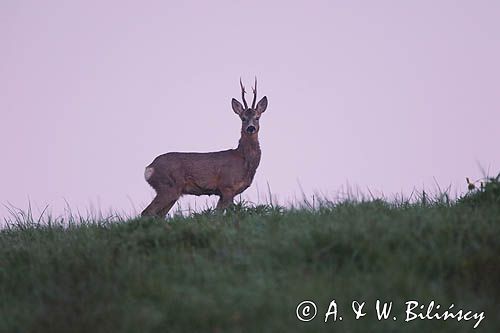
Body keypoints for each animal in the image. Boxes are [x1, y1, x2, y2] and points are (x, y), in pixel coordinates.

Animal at [142, 79, 270, 217]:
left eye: (257, 117)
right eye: (243, 118)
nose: (251, 128)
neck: (243, 159)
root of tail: (149, 168)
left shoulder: (225, 192)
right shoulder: (227, 186)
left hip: (172, 191)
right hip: (167, 186)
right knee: (146, 212)